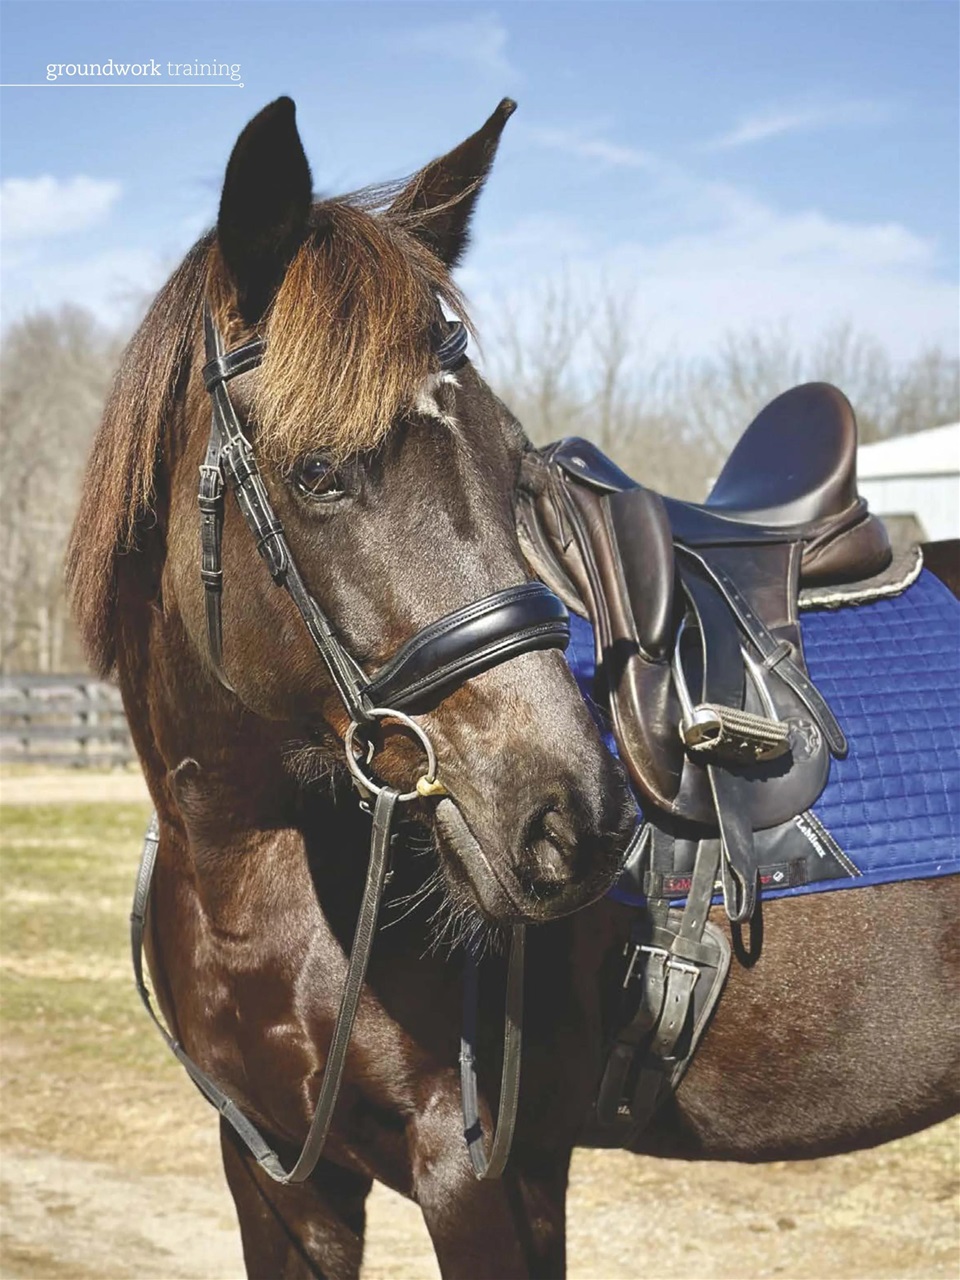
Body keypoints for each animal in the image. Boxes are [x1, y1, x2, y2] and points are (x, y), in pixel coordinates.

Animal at [66, 98, 959, 1279]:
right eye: (319, 472)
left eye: (510, 464)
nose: (574, 819)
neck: (250, 869)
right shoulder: (279, 1176)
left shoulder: (488, 1168)